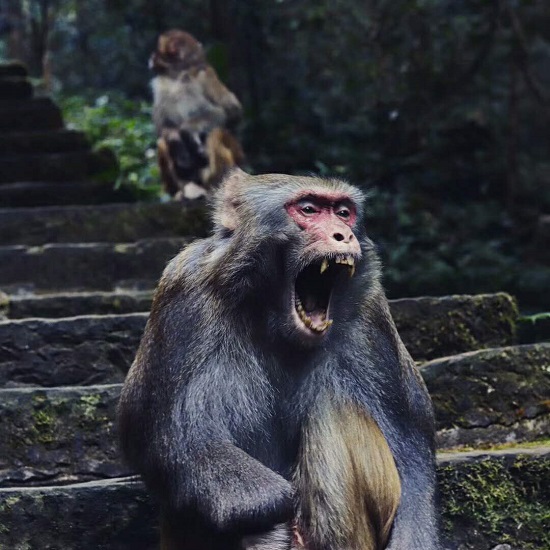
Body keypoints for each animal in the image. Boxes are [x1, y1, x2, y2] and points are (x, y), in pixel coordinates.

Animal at [118, 170, 442, 548]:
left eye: (344, 213)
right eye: (308, 209)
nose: (344, 234)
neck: (273, 322)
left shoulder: (371, 314)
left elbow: (411, 452)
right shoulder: (183, 288)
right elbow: (168, 436)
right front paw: (266, 512)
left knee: (335, 411)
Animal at [151, 28, 246, 201]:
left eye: (158, 52)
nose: (151, 57)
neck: (178, 76)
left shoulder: (205, 75)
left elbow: (230, 112)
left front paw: (187, 130)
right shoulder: (159, 87)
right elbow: (163, 128)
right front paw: (176, 140)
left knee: (216, 134)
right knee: (161, 143)